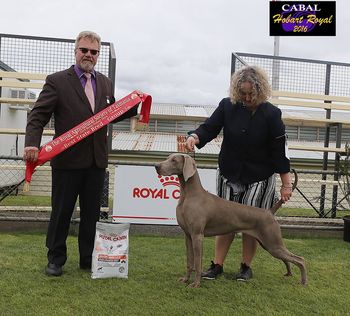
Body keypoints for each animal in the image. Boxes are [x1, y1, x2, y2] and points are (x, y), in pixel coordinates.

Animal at [156, 154, 306, 288]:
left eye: (174, 160)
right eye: (168, 158)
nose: (157, 166)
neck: (189, 195)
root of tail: (269, 211)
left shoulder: (197, 235)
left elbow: (198, 263)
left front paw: (195, 284)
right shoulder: (188, 235)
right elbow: (190, 261)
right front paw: (185, 279)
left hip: (272, 242)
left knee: (300, 259)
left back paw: (303, 282)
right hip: (268, 244)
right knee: (287, 259)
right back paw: (289, 273)